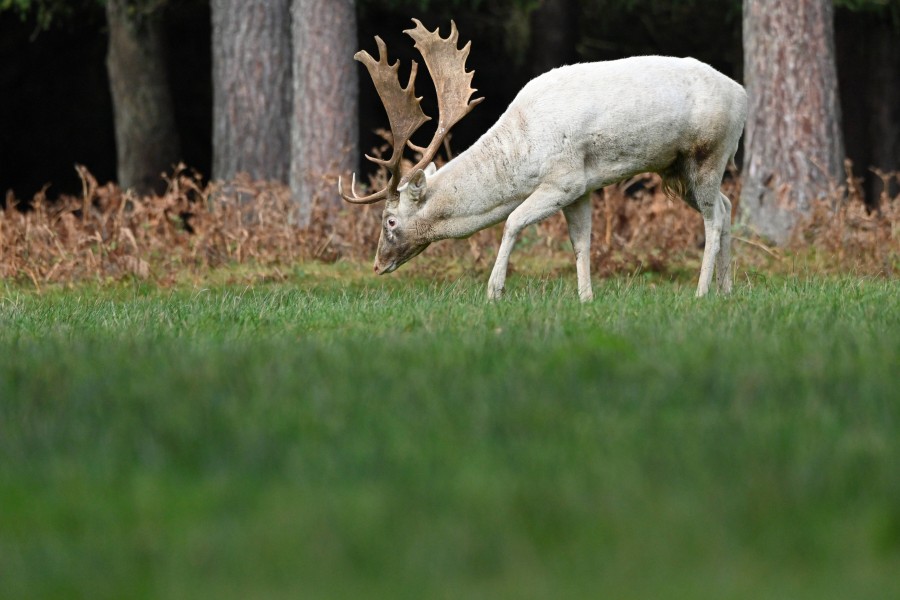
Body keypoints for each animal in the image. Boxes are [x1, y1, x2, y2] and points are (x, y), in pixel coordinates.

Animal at [338, 19, 744, 300]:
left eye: (390, 221)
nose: (377, 264)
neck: (523, 154)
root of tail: (742, 94)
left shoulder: (564, 180)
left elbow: (513, 222)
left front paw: (494, 291)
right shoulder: (583, 188)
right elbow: (581, 243)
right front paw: (586, 299)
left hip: (708, 152)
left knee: (714, 219)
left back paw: (702, 292)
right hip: (679, 168)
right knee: (726, 206)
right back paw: (726, 290)